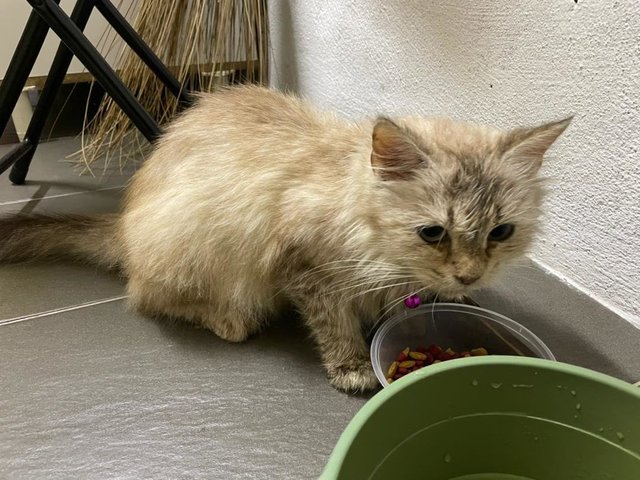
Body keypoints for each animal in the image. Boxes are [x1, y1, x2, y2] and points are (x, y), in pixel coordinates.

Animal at [0, 85, 568, 394]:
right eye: (433, 233)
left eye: (501, 232)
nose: (471, 275)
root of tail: (122, 224)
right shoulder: (305, 268)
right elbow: (335, 324)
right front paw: (353, 367)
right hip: (192, 246)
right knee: (148, 297)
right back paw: (228, 320)